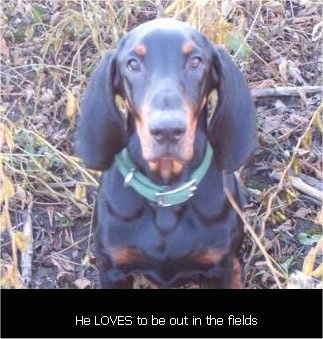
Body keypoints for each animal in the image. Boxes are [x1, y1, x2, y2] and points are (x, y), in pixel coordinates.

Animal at [77, 18, 256, 288]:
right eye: (133, 64)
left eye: (196, 61)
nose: (168, 130)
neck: (166, 195)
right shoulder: (113, 268)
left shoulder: (215, 265)